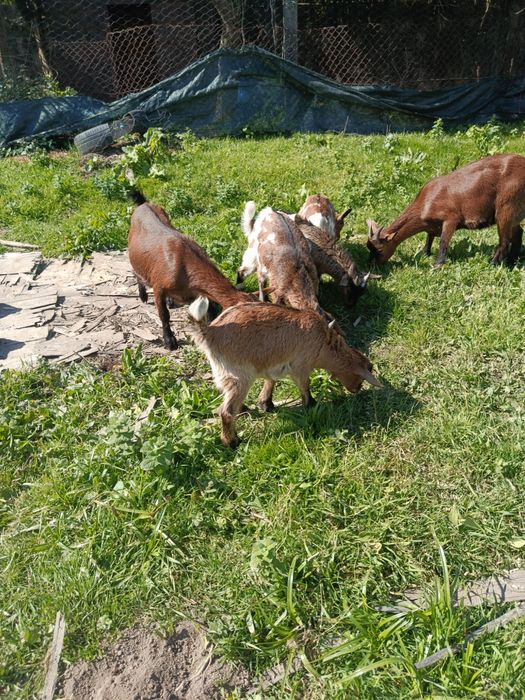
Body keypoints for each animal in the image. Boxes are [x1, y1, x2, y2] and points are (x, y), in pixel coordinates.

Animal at [127, 190, 257, 349]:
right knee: (136, 271)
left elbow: (211, 310)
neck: (183, 265)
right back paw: (143, 296)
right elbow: (164, 315)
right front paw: (169, 341)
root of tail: (144, 204)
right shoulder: (158, 287)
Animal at [188, 296, 380, 447]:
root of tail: (210, 332)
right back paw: (233, 442)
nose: (356, 390)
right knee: (226, 411)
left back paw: (243, 410)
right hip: (240, 376)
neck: (326, 344)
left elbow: (270, 381)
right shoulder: (301, 365)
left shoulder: (272, 363)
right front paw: (312, 404)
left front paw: (265, 403)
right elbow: (305, 386)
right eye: (361, 377)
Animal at [367, 154, 525, 267]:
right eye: (369, 248)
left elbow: (443, 242)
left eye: (379, 250)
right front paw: (425, 254)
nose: (373, 266)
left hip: (506, 207)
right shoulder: (431, 227)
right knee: (518, 233)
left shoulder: (451, 219)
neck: (425, 203)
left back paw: (493, 263)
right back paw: (512, 261)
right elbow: (429, 238)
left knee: (504, 241)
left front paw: (438, 264)